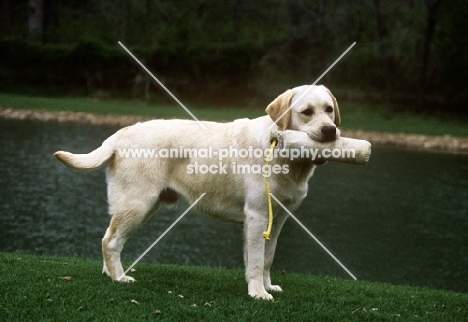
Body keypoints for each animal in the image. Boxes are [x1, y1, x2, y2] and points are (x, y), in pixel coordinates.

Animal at [54, 85, 340, 300]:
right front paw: (259, 293)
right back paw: (119, 278)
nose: (330, 130)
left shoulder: (277, 219)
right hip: (138, 203)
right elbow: (257, 260)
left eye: (329, 110)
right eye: (306, 112)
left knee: (109, 236)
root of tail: (119, 133)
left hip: (138, 205)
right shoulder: (258, 215)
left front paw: (267, 286)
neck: (282, 151)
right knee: (111, 241)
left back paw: (109, 273)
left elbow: (267, 258)